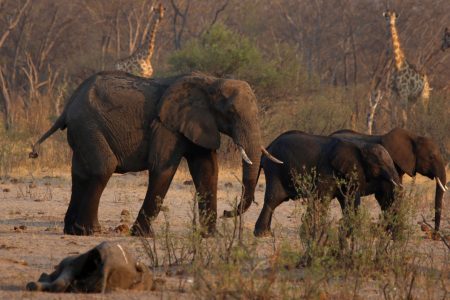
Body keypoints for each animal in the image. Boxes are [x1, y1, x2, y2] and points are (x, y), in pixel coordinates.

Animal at [29, 71, 280, 237]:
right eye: (231, 112)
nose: (228, 213)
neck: (211, 81)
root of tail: (67, 106)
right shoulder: (167, 125)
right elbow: (163, 169)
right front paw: (141, 235)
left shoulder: (198, 123)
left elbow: (207, 171)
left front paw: (210, 236)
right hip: (88, 125)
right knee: (103, 168)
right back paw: (91, 231)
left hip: (82, 130)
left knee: (80, 174)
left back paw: (72, 231)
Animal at [223, 131, 402, 237]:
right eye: (379, 164)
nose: (224, 212)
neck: (360, 146)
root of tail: (268, 146)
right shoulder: (327, 169)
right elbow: (324, 198)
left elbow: (348, 200)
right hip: (275, 168)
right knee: (273, 199)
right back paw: (263, 235)